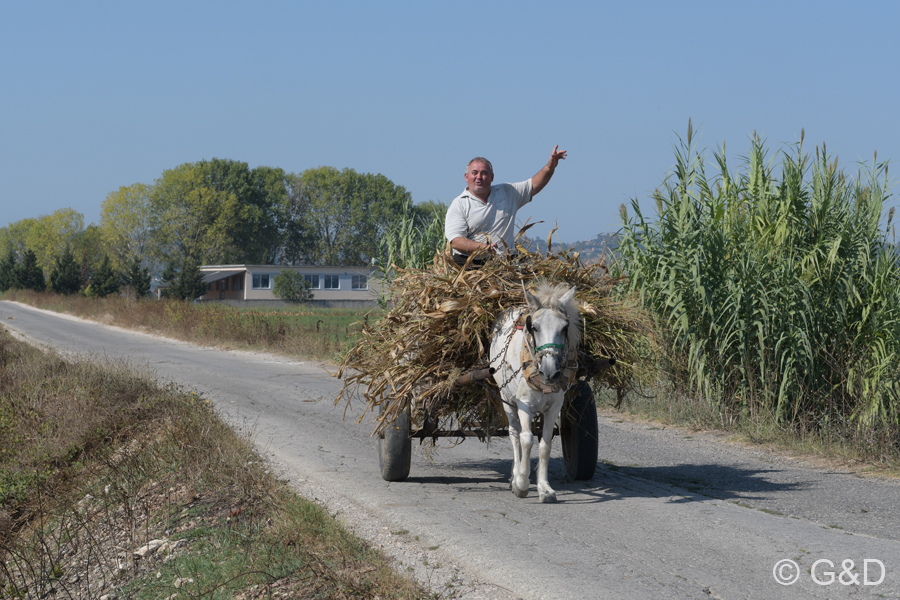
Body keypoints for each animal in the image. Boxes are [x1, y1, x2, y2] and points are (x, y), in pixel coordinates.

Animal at [488, 282, 580, 502]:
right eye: (534, 327)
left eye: (564, 328)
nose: (550, 372)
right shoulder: (524, 405)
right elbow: (526, 439)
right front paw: (521, 483)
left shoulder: (554, 406)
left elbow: (545, 444)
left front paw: (544, 488)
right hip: (506, 399)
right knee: (515, 434)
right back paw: (515, 475)